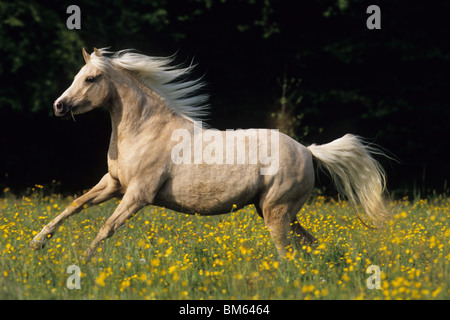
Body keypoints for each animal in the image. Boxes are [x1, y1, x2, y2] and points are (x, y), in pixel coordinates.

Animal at [30, 47, 390, 258]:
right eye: (77, 76)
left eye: (90, 78)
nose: (58, 106)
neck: (146, 130)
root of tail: (308, 151)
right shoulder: (113, 184)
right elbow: (75, 205)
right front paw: (38, 242)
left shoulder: (138, 194)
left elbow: (106, 227)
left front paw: (82, 263)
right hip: (278, 211)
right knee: (310, 243)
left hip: (276, 212)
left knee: (286, 251)